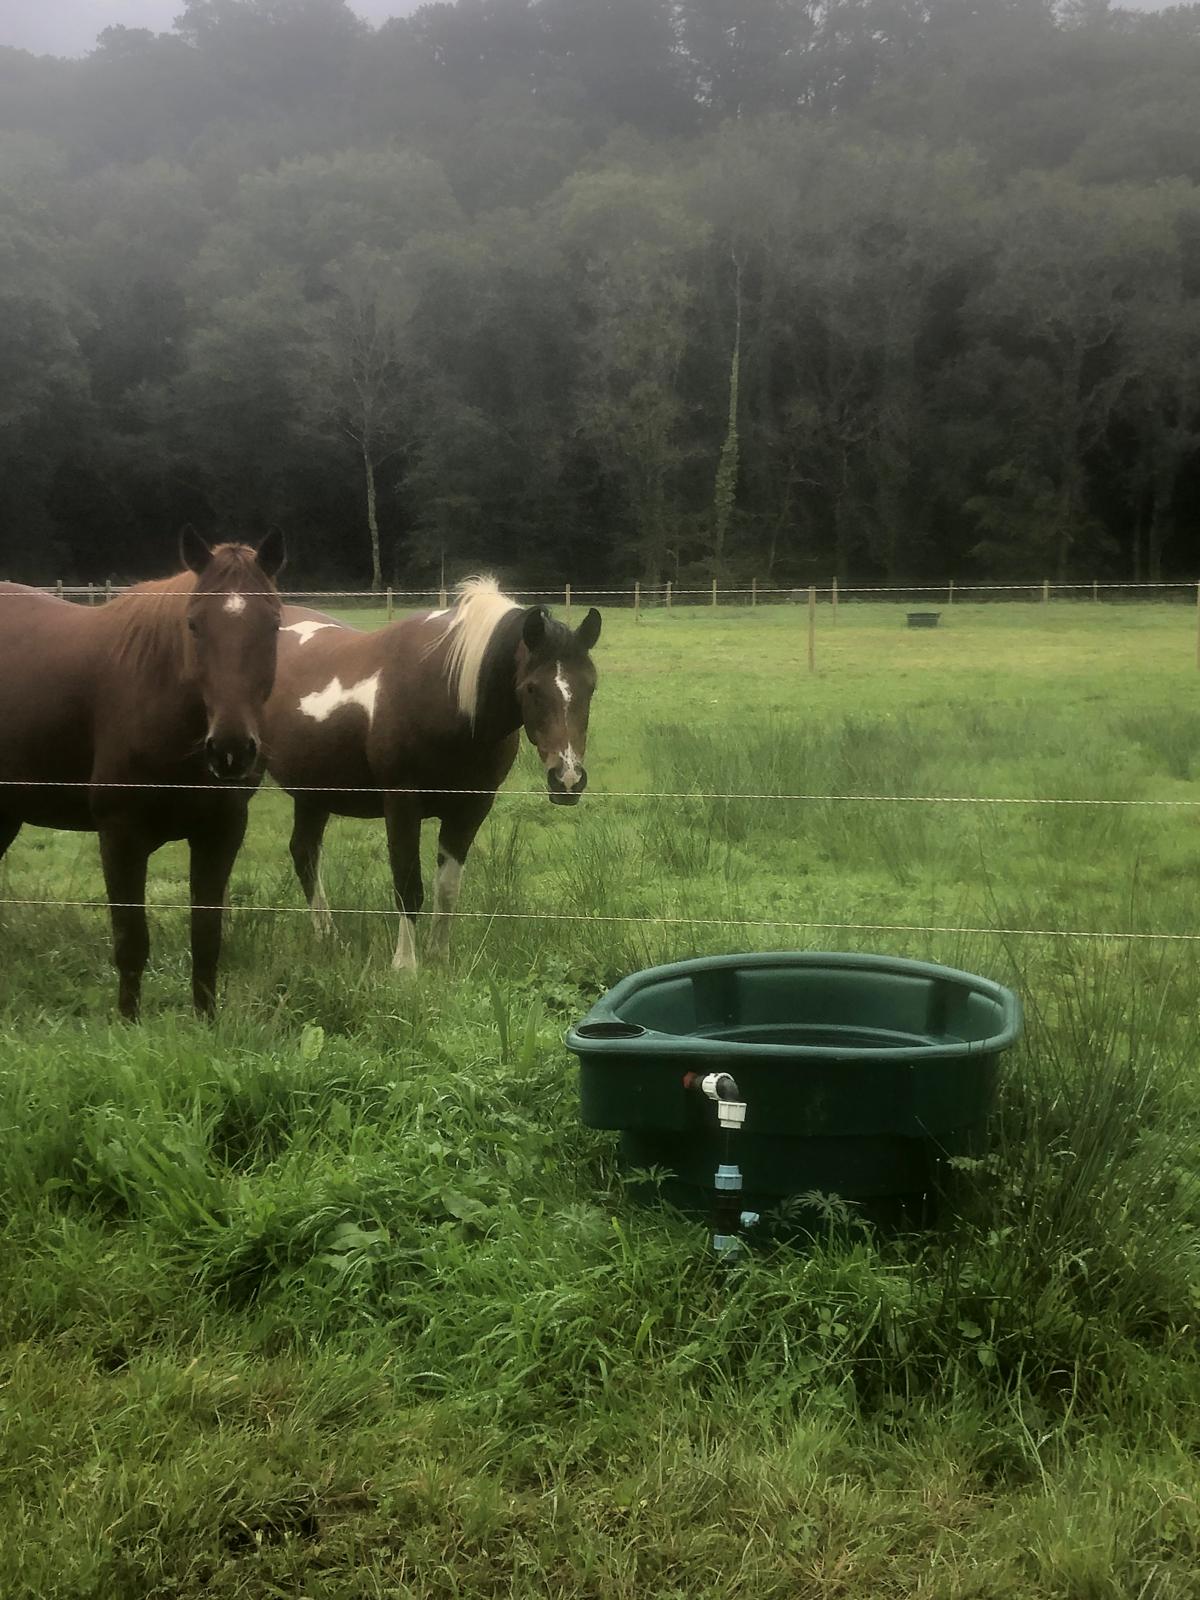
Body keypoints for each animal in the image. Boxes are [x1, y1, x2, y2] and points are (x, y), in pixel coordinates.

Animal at [0, 529, 285, 1019]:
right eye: (194, 624)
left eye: (272, 625)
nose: (230, 750)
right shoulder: (120, 834)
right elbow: (131, 940)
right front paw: (129, 1023)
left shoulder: (221, 832)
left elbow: (206, 938)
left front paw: (206, 1021)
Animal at [263, 576, 602, 969]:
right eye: (532, 687)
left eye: (591, 685)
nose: (568, 779)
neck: (446, 695)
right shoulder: (401, 803)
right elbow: (408, 884)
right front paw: (405, 965)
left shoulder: (472, 807)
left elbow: (448, 888)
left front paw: (440, 957)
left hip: (312, 792)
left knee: (304, 853)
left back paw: (328, 937)